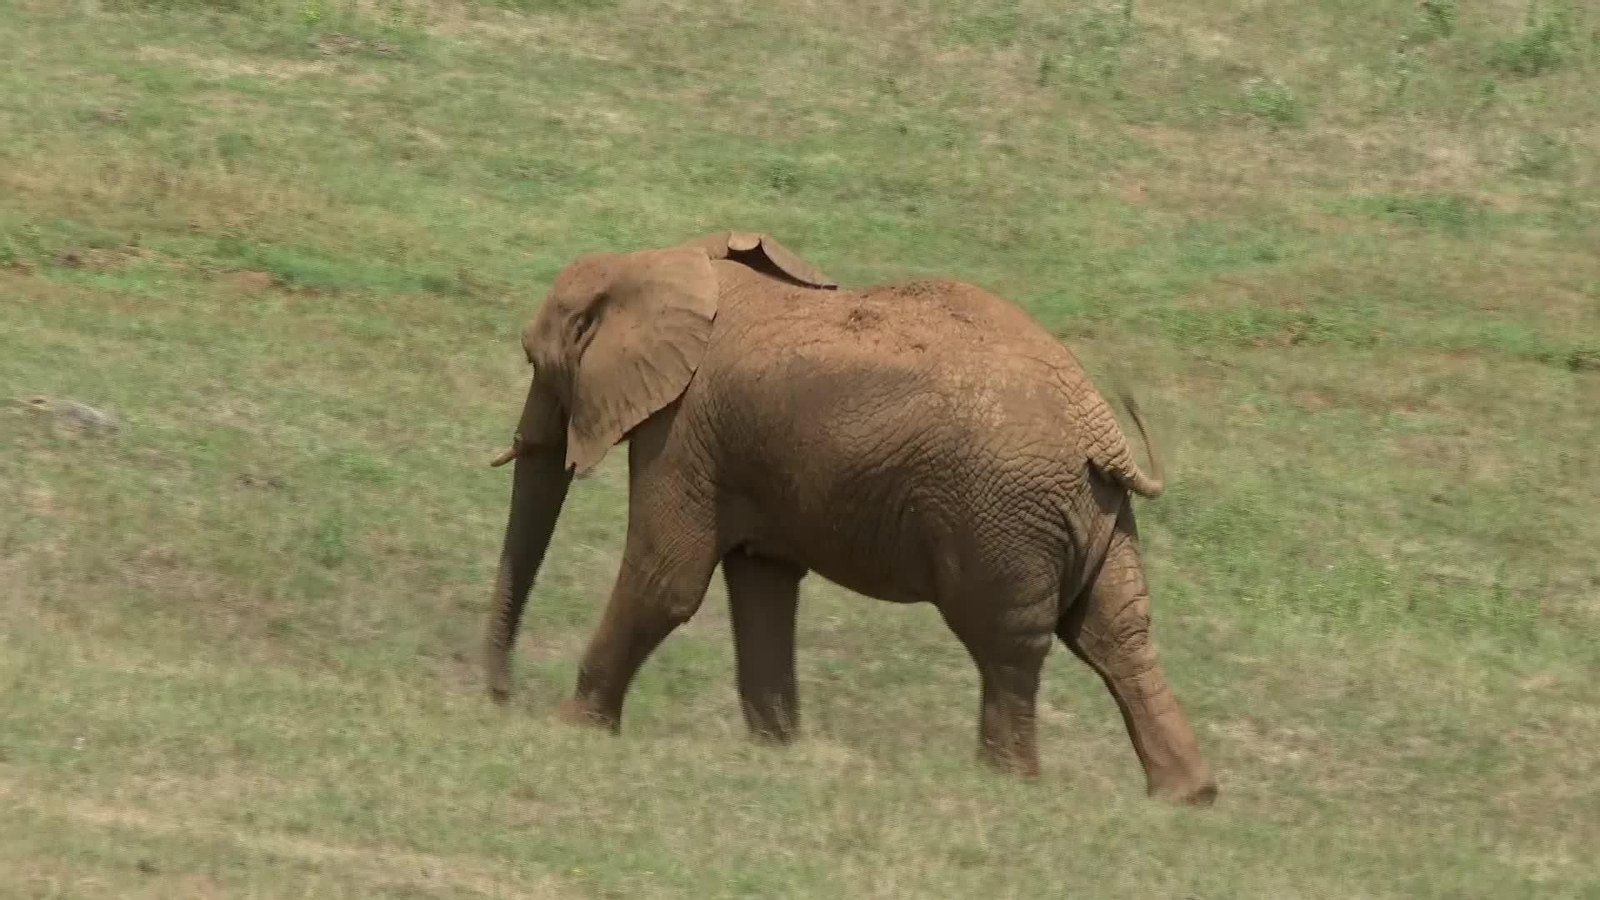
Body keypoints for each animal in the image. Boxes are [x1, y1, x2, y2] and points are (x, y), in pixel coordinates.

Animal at [483, 230, 1217, 807]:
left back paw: (1007, 785)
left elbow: (666, 579)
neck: (658, 261)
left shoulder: (686, 427)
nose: (498, 700)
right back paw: (1187, 795)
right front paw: (778, 750)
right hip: (1094, 512)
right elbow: (763, 585)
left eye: (534, 359)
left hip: (1003, 515)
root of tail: (1101, 431)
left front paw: (571, 727)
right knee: (1116, 632)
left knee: (1007, 643)